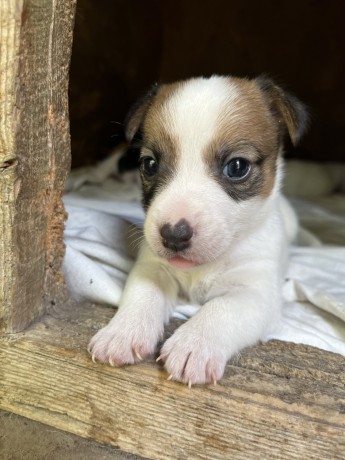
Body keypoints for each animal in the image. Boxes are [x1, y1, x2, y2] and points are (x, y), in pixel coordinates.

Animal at [88, 74, 306, 384]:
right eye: (149, 164)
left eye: (237, 167)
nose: (173, 235)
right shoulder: (152, 267)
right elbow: (143, 294)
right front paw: (122, 331)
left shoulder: (257, 293)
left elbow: (221, 309)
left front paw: (194, 345)